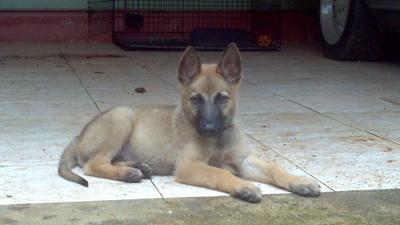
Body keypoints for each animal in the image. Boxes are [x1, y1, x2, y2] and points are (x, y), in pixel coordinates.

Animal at [58, 43, 322, 203]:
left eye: (222, 98)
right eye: (195, 100)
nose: (208, 129)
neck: (219, 140)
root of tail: (78, 137)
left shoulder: (244, 159)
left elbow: (275, 168)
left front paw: (299, 181)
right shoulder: (189, 166)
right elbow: (220, 173)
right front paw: (243, 186)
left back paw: (138, 166)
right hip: (122, 116)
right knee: (93, 164)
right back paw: (128, 173)